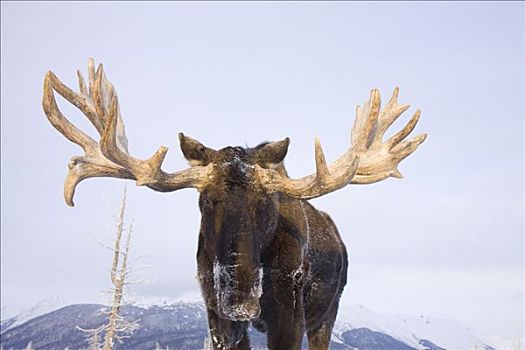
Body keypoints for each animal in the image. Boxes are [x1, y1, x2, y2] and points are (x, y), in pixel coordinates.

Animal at [41, 58, 426, 350]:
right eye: (206, 201)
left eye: (267, 204)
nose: (240, 302)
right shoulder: (215, 314)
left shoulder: (289, 315)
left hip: (326, 315)